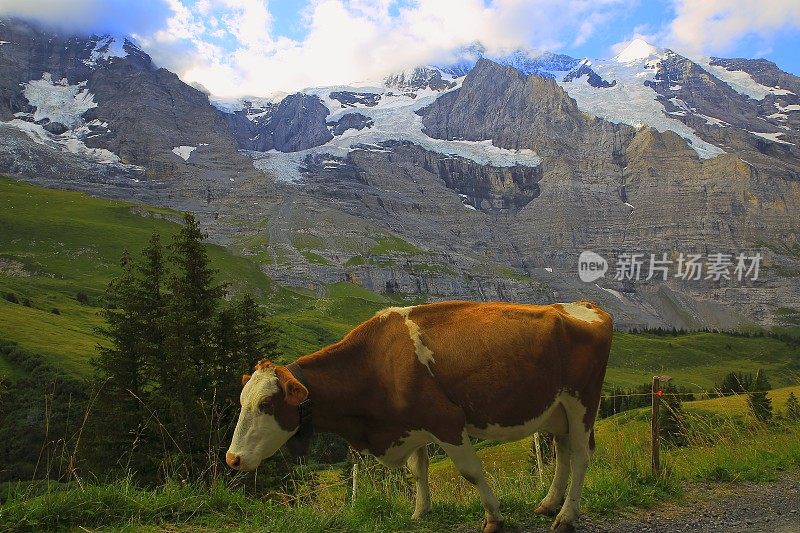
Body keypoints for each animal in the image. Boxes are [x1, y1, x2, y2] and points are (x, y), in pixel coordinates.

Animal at [225, 302, 612, 528]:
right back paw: (548, 505)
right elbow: (417, 470)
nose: (232, 459)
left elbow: (471, 471)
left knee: (580, 455)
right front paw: (420, 512)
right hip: (556, 410)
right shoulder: (412, 425)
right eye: (242, 402)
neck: (378, 362)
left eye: (266, 405)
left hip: (583, 402)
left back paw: (565, 517)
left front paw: (493, 517)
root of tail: (582, 306)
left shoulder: (446, 420)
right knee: (562, 452)